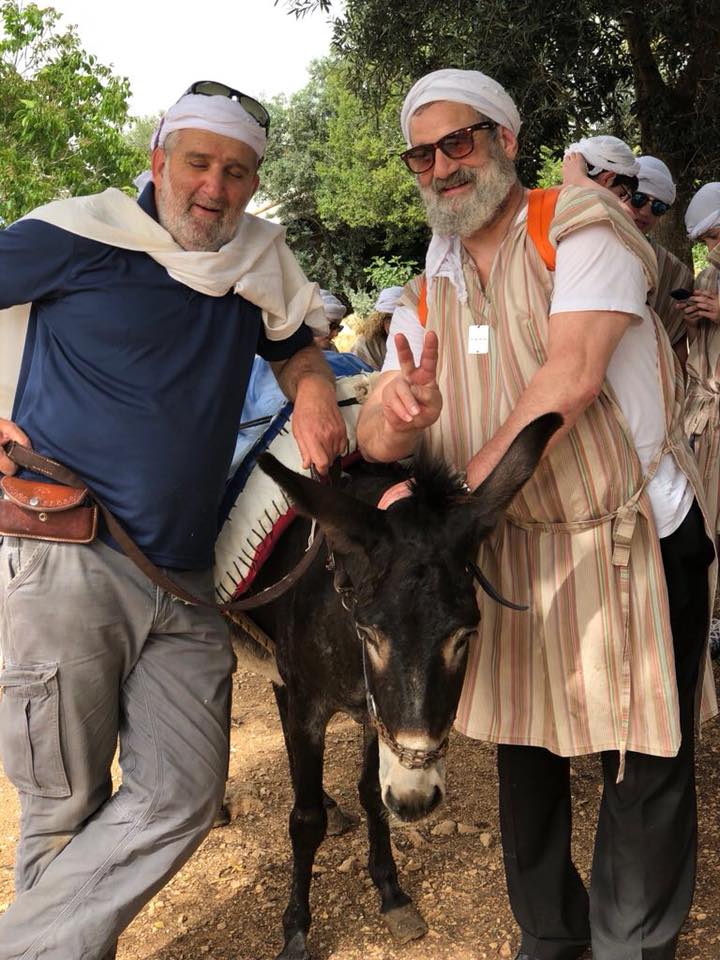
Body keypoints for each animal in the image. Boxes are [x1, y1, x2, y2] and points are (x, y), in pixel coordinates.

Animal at [229, 412, 561, 960]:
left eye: (464, 636)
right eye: (370, 634)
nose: (415, 801)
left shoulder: (373, 715)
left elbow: (370, 794)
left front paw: (390, 890)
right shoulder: (309, 708)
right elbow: (304, 819)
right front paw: (296, 929)